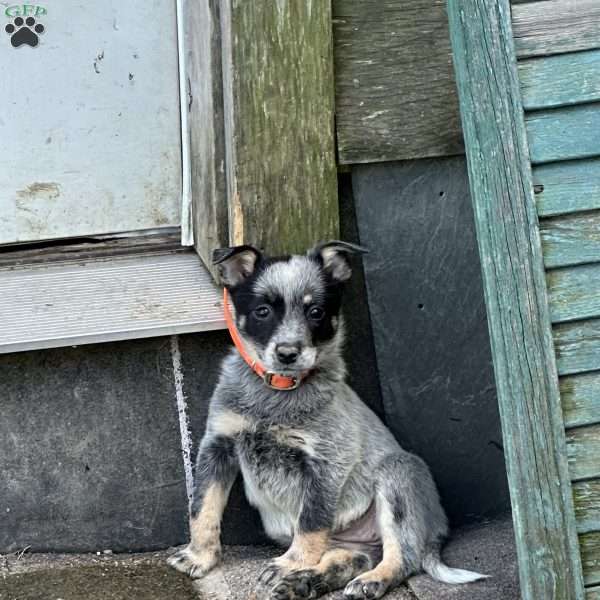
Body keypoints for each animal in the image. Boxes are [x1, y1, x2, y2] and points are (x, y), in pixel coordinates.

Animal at [166, 241, 486, 596]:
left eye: (315, 312)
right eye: (263, 311)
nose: (288, 353)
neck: (276, 393)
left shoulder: (328, 461)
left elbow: (310, 521)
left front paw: (289, 563)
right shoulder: (218, 443)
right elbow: (203, 506)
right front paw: (199, 556)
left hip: (397, 474)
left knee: (404, 557)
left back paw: (363, 580)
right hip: (350, 542)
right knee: (348, 560)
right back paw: (304, 582)